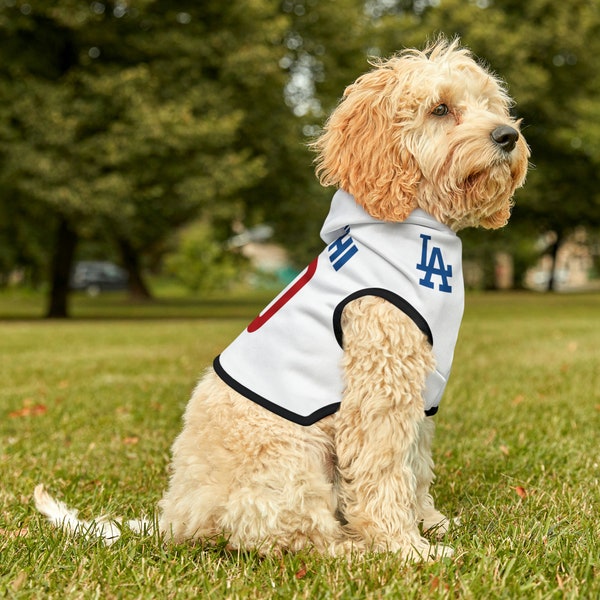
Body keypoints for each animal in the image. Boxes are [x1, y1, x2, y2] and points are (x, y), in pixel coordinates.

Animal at [35, 38, 528, 564]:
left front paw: (430, 524)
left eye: (490, 104)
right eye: (440, 109)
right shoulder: (380, 388)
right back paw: (354, 550)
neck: (414, 225)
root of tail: (176, 518)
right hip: (292, 457)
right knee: (291, 537)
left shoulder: (420, 392)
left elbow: (415, 466)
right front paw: (405, 548)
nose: (508, 136)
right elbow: (384, 472)